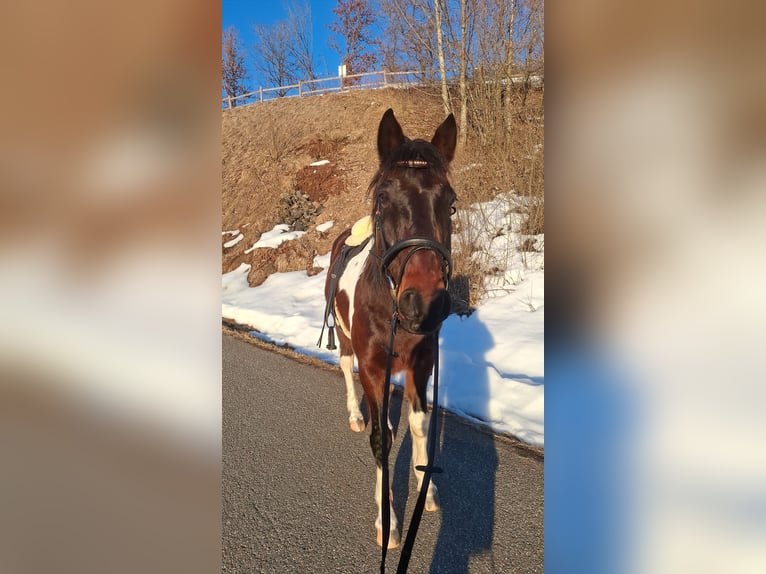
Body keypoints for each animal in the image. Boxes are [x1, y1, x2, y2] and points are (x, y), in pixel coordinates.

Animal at [323, 108, 457, 549]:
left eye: (450, 203)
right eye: (384, 199)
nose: (424, 302)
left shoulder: (422, 364)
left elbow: (419, 423)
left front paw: (426, 487)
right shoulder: (373, 368)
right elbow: (382, 439)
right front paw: (388, 520)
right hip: (346, 342)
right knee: (345, 369)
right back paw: (355, 413)